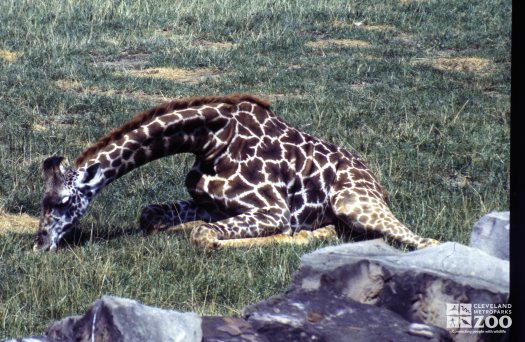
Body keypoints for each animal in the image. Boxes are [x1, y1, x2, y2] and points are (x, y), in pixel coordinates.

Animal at [34, 93, 440, 251]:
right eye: (41, 200)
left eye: (62, 202)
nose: (40, 244)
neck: (211, 139)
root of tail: (375, 180)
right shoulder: (209, 203)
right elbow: (151, 215)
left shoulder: (272, 211)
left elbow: (203, 235)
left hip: (353, 203)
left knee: (426, 241)